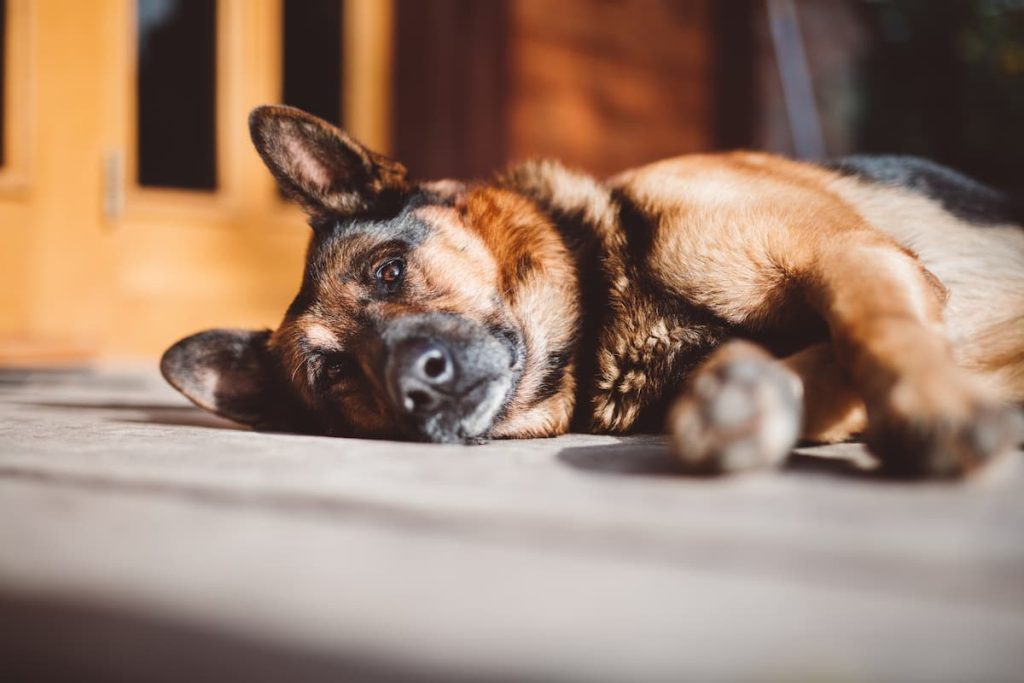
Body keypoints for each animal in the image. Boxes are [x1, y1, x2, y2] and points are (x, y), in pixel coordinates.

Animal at [161, 108, 1024, 481]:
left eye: (387, 271)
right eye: (332, 374)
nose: (415, 384)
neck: (612, 288)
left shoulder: (854, 254)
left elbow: (872, 327)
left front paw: (935, 403)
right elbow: (821, 360)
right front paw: (743, 397)